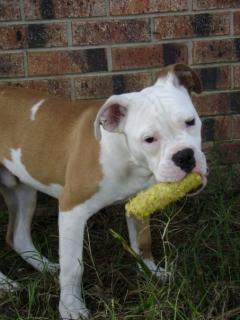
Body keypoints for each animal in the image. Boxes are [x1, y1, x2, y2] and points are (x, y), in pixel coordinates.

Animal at [0, 63, 207, 318]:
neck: (126, 156)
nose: (184, 156)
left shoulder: (139, 202)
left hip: (22, 190)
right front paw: (71, 307)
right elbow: (73, 266)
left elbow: (143, 242)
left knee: (17, 236)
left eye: (190, 121)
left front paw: (153, 272)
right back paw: (5, 284)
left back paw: (46, 267)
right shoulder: (72, 209)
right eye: (149, 139)